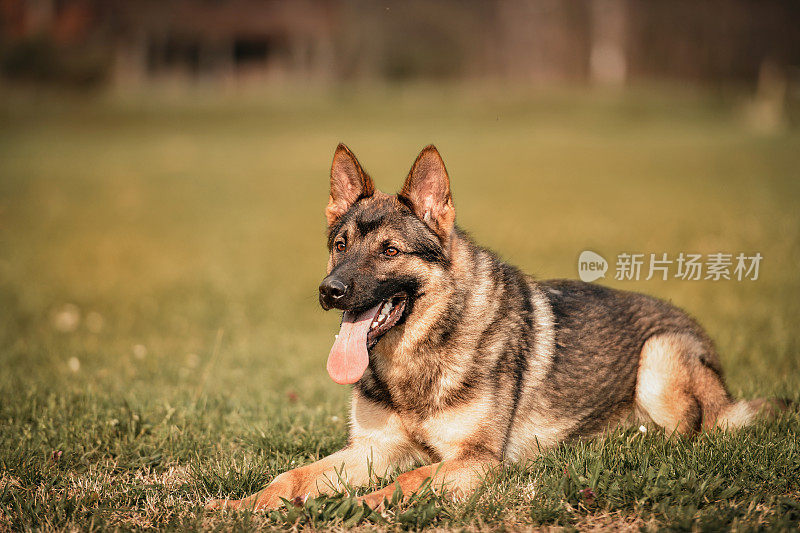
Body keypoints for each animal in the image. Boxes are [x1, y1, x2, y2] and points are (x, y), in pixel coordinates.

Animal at [208, 143, 788, 510]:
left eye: (389, 251)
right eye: (340, 245)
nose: (329, 291)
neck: (416, 358)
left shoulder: (475, 461)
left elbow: (408, 482)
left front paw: (356, 509)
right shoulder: (373, 449)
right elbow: (295, 474)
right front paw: (244, 505)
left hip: (660, 358)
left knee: (688, 433)